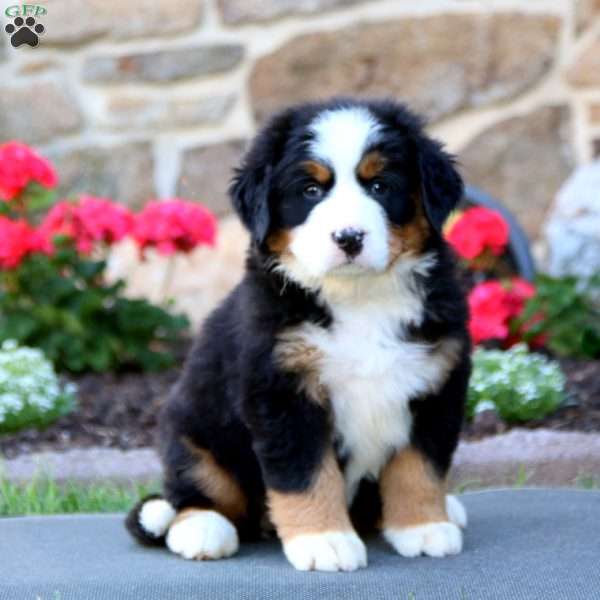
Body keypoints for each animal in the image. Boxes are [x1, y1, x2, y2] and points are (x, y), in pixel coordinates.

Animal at [127, 97, 474, 572]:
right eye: (311, 190)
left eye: (380, 185)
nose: (349, 237)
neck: (360, 299)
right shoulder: (282, 391)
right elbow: (306, 473)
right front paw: (323, 540)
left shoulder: (436, 385)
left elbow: (420, 467)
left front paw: (423, 527)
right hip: (193, 429)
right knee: (194, 491)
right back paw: (202, 529)